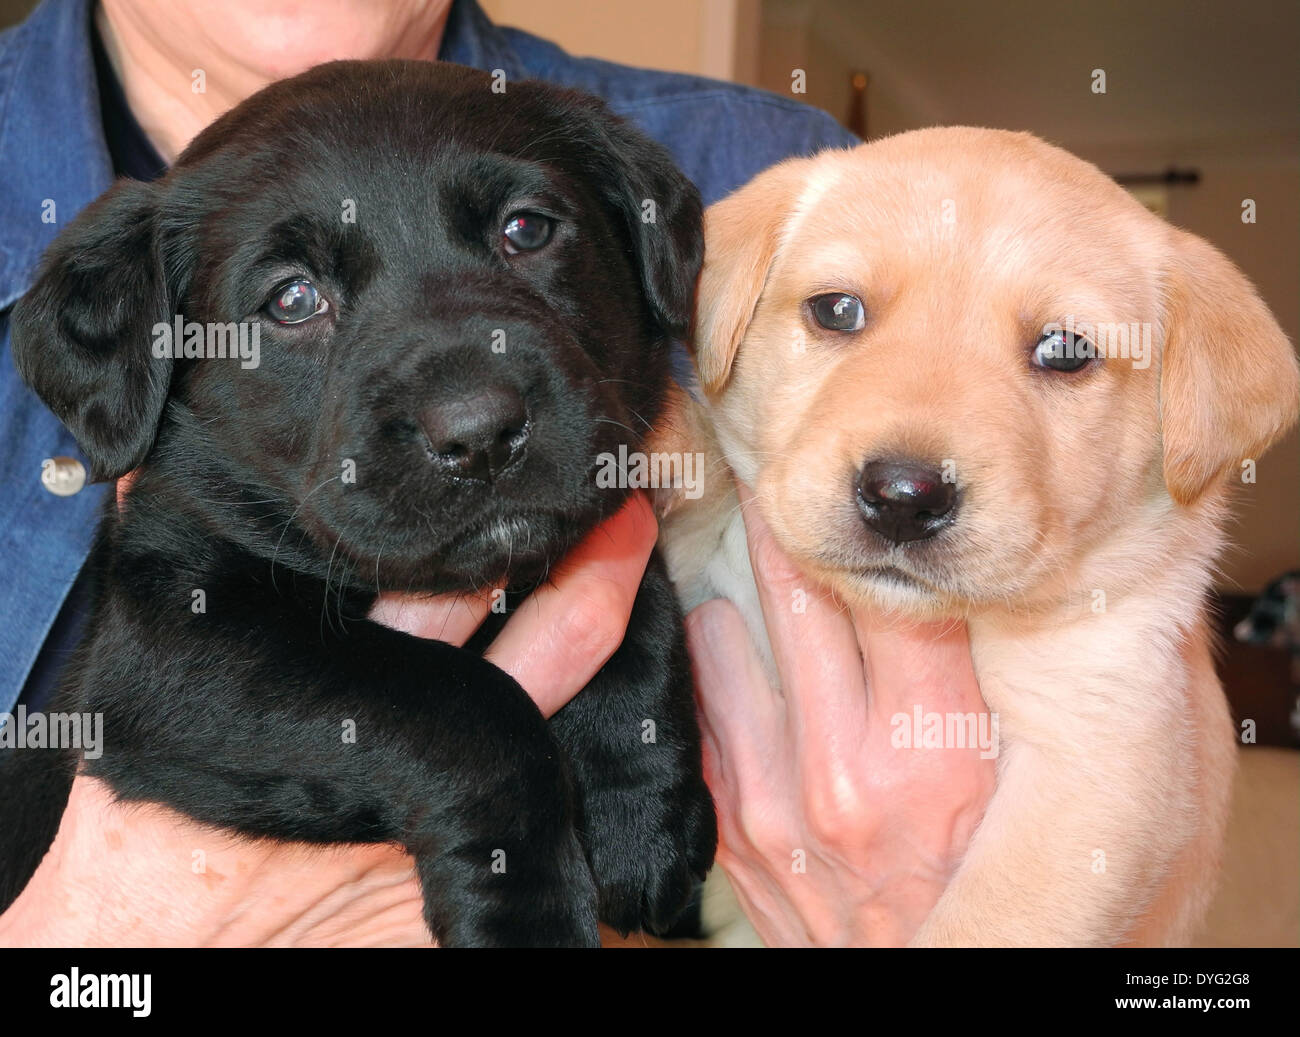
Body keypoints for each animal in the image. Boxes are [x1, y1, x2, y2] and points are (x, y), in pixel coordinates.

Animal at [0, 61, 712, 946]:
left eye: (526, 230)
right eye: (293, 299)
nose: (479, 433)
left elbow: (642, 601)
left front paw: (641, 808)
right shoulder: (160, 650)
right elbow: (458, 702)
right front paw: (527, 908)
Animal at [670, 129, 1300, 951]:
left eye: (1064, 349)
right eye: (836, 310)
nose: (903, 498)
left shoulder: (1092, 762)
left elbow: (981, 923)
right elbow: (698, 489)